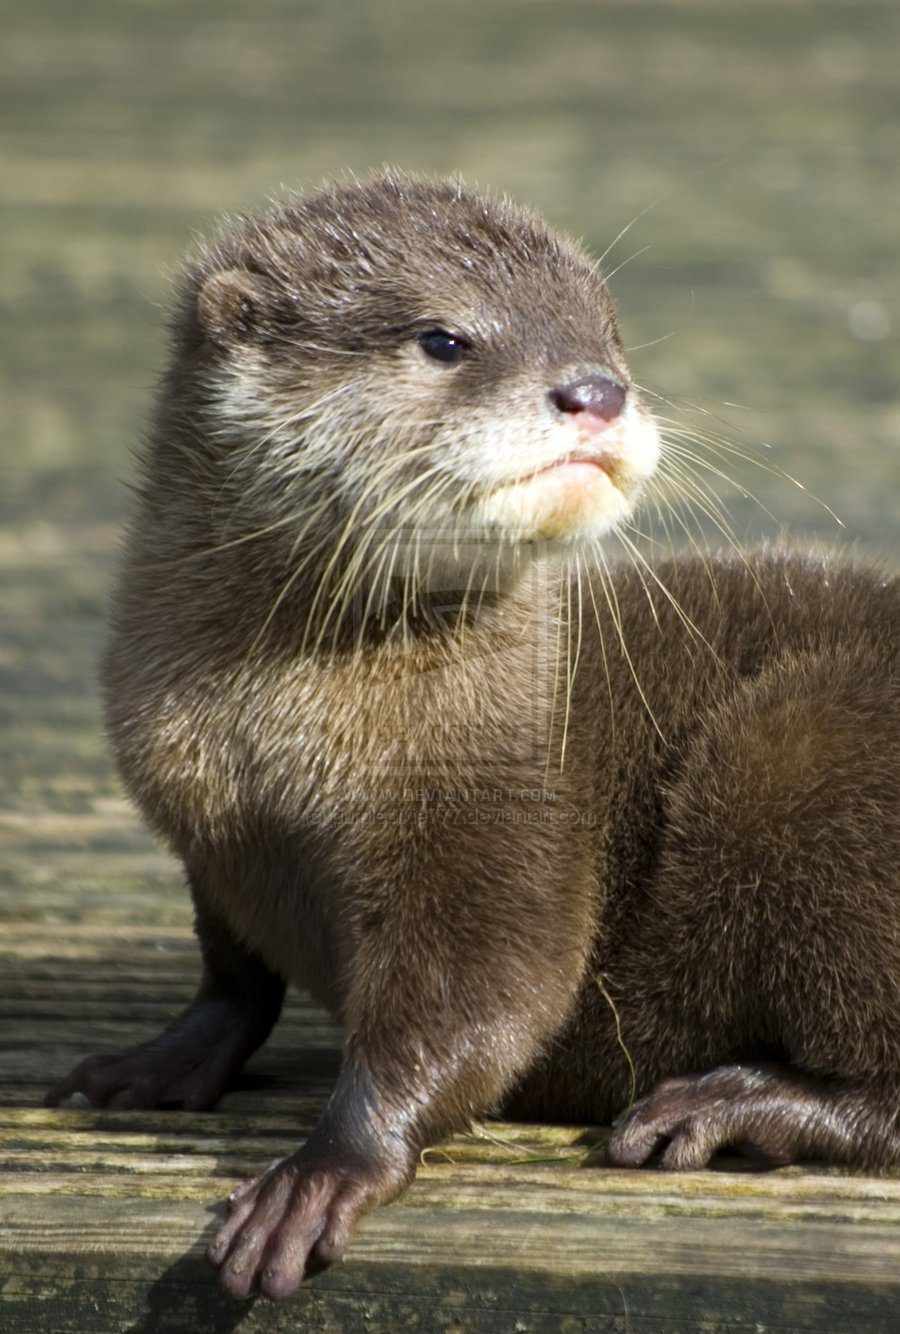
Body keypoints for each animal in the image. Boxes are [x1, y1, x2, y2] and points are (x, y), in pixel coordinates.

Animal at [47, 172, 900, 1301]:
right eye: (444, 339)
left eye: (608, 332)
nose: (596, 389)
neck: (270, 750)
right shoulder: (203, 833)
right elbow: (233, 975)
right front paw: (153, 1061)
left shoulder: (505, 813)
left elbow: (483, 1005)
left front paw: (323, 1171)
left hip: (798, 751)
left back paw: (726, 1103)